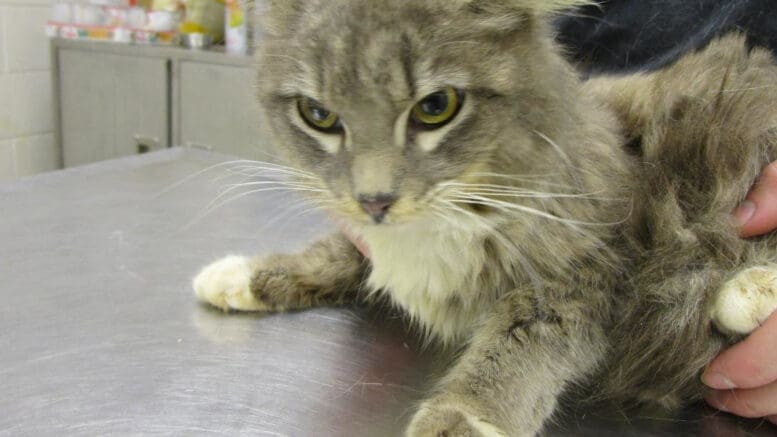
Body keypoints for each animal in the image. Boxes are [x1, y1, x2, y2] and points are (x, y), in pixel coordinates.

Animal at [191, 1, 776, 434]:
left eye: (436, 107)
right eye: (318, 115)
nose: (375, 201)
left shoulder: (587, 271)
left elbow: (514, 350)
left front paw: (463, 419)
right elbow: (334, 255)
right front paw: (241, 276)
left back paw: (748, 291)